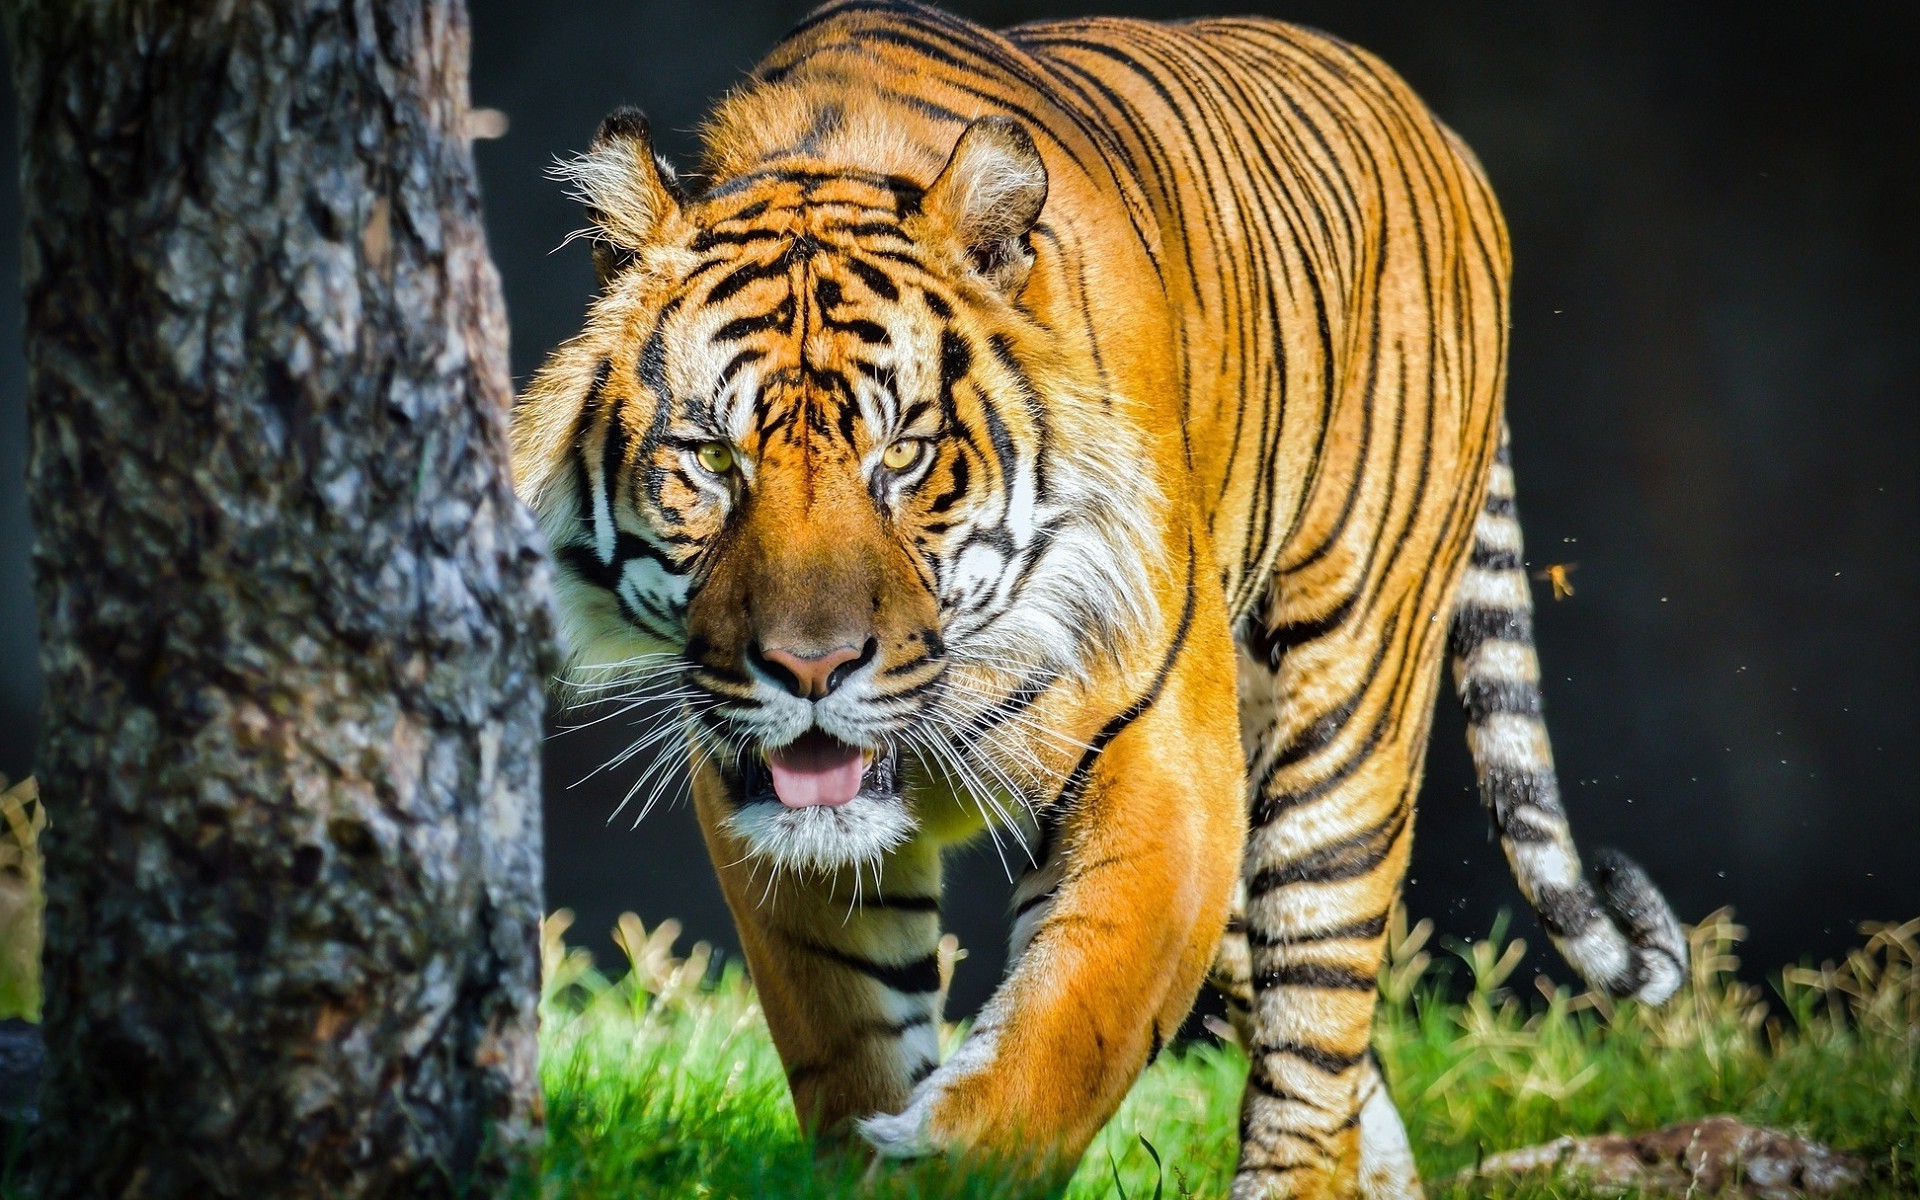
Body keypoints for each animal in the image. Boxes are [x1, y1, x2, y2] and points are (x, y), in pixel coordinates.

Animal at [509, 1, 1688, 1194]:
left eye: (905, 455)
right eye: (711, 459)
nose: (809, 668)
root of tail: (1425, 117)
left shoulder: (1169, 764)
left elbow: (1063, 1037)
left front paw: (946, 1157)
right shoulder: (760, 797)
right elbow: (851, 1037)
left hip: (1349, 692)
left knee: (1316, 1025)